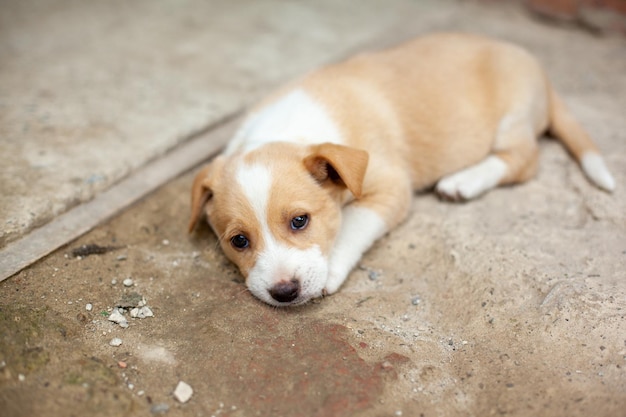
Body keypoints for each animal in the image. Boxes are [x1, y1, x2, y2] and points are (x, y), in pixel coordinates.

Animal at [186, 32, 616, 306]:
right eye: (239, 241)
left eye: (299, 221)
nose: (284, 292)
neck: (285, 129)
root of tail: (542, 75)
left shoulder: (390, 188)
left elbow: (353, 226)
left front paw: (330, 270)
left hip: (514, 115)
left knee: (524, 159)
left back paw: (465, 181)